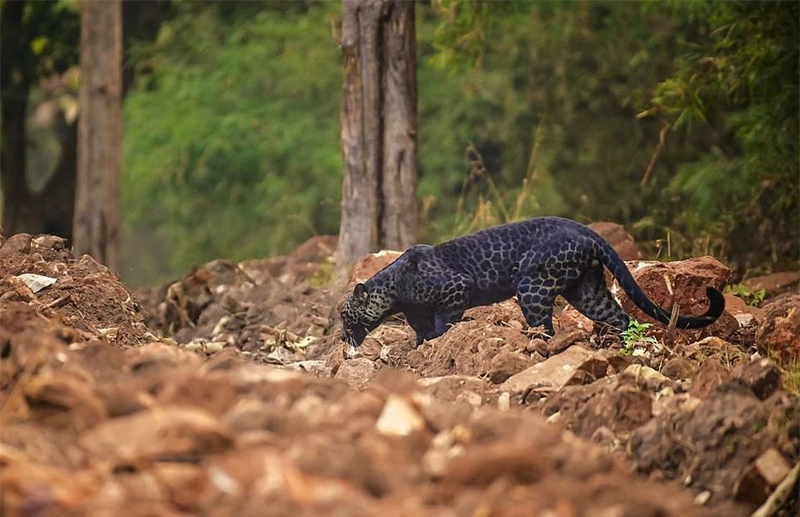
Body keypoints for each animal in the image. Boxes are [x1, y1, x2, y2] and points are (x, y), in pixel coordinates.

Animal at [338, 214, 724, 346]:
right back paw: (623, 346)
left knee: (546, 326)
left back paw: (539, 346)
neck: (394, 290)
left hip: (532, 286)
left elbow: (442, 323)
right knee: (620, 316)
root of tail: (584, 229)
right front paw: (419, 348)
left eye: (344, 315)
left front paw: (438, 341)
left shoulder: (455, 289)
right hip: (587, 290)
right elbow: (420, 331)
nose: (341, 337)